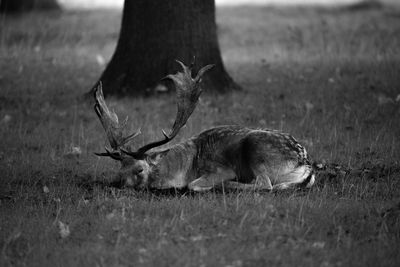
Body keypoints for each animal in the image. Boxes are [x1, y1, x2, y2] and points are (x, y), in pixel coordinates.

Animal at [94, 60, 316, 193]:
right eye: (120, 170)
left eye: (139, 170)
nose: (117, 186)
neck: (186, 167)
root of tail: (305, 163)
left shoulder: (221, 169)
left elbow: (193, 185)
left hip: (256, 149)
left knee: (265, 184)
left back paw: (229, 185)